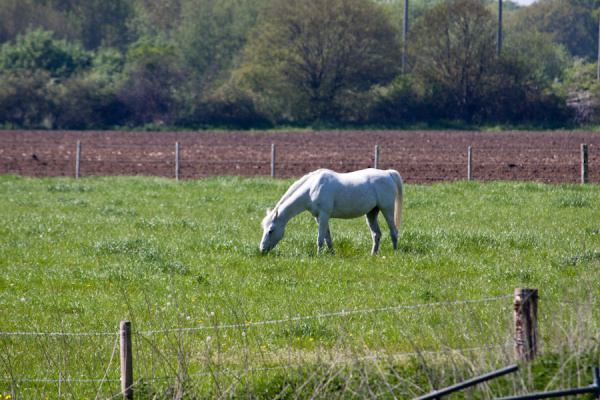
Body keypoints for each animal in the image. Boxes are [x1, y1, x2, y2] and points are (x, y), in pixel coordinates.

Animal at [258, 167, 404, 255]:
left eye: (271, 230)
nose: (262, 249)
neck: (311, 188)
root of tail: (388, 173)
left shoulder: (324, 215)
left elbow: (320, 238)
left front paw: (318, 255)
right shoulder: (318, 217)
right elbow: (327, 237)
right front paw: (332, 254)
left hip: (388, 210)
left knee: (393, 231)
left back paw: (395, 252)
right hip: (371, 213)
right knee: (376, 234)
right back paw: (373, 254)